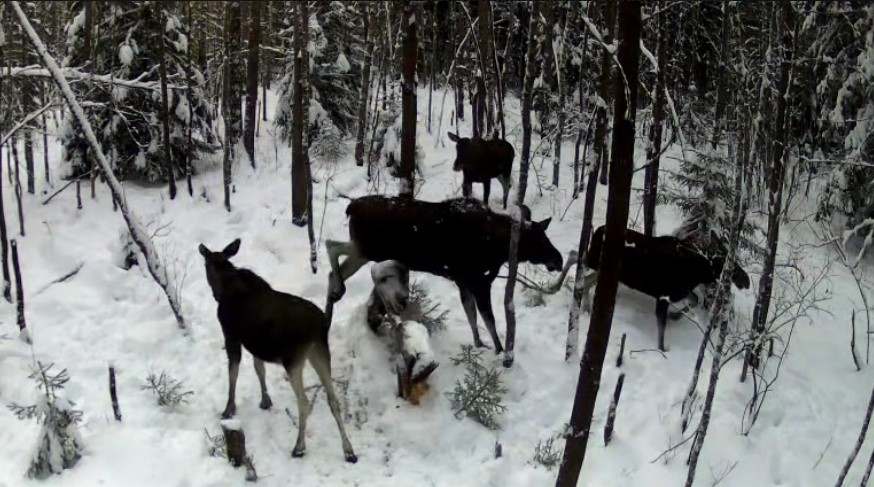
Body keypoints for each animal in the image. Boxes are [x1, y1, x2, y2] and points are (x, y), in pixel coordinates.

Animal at [199, 240, 356, 466]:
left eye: (205, 264)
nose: (214, 294)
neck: (225, 283)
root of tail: (322, 324)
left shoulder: (231, 336)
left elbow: (233, 373)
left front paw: (228, 409)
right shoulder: (256, 344)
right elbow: (259, 369)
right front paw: (265, 401)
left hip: (293, 360)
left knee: (304, 403)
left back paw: (299, 447)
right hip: (320, 353)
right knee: (333, 400)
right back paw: (349, 451)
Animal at [324, 195, 564, 366]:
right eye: (539, 239)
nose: (559, 260)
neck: (499, 248)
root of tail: (350, 207)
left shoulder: (464, 282)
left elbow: (472, 316)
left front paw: (479, 345)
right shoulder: (479, 282)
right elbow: (489, 320)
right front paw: (499, 352)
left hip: (362, 249)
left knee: (332, 254)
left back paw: (334, 295)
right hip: (367, 249)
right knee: (332, 248)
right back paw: (338, 291)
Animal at [584, 225, 744, 350]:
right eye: (723, 260)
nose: (745, 280)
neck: (696, 272)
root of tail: (597, 231)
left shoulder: (679, 292)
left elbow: (695, 300)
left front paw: (674, 315)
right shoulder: (663, 295)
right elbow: (662, 326)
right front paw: (662, 348)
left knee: (584, 276)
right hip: (598, 264)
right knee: (582, 273)